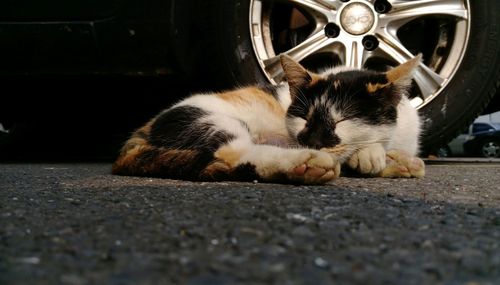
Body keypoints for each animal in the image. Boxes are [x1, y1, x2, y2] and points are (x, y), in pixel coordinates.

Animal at [111, 55, 424, 184]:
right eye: (305, 118)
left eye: (341, 120)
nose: (310, 142)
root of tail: (141, 131)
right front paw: (372, 155)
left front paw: (394, 160)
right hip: (208, 120)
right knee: (236, 152)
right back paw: (308, 163)